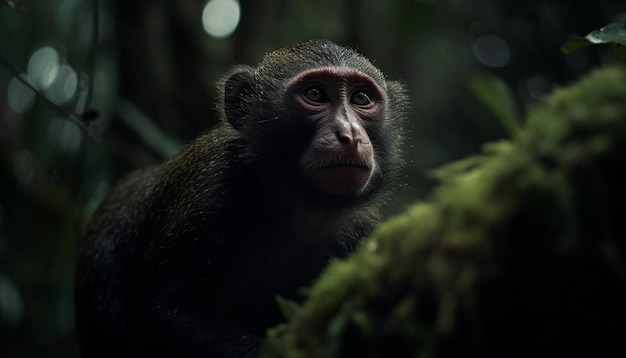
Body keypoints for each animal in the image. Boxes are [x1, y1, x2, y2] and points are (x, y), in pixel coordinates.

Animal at [75, 39, 408, 358]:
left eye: (361, 99)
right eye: (314, 94)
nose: (349, 134)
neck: (299, 208)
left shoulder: (363, 231)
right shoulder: (211, 196)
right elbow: (156, 308)